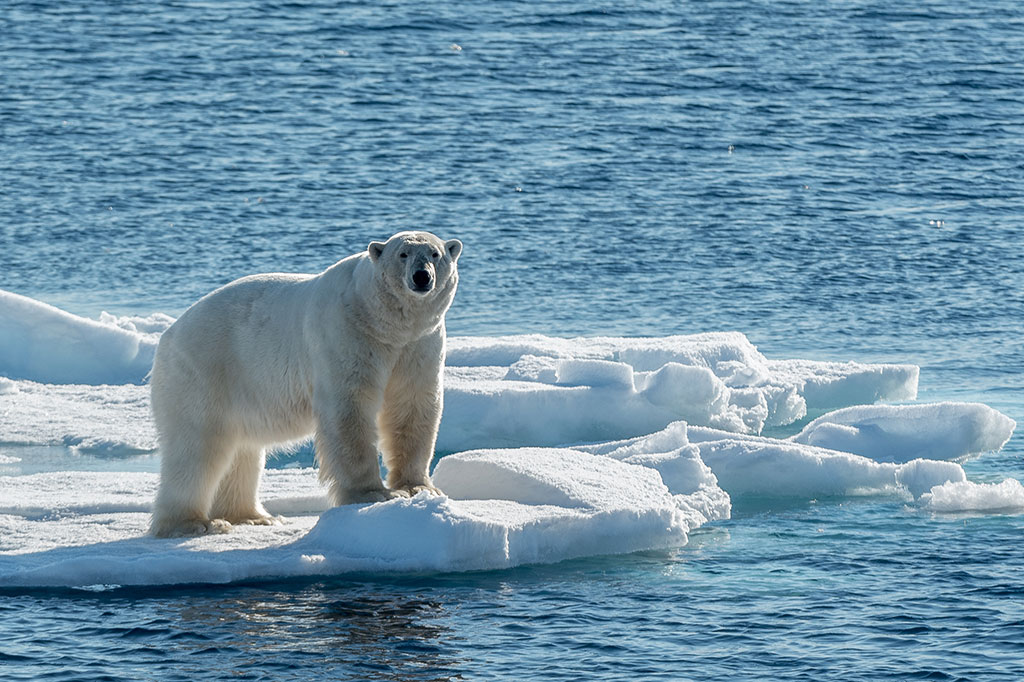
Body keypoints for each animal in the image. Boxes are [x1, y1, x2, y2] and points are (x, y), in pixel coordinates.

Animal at [148, 231, 462, 537]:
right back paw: (191, 523)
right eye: (403, 254)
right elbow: (350, 410)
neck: (384, 324)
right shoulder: (347, 334)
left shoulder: (419, 344)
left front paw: (419, 488)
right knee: (197, 447)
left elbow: (412, 405)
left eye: (435, 253)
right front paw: (374, 494)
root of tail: (169, 334)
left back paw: (253, 517)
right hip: (205, 372)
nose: (421, 276)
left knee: (242, 450)